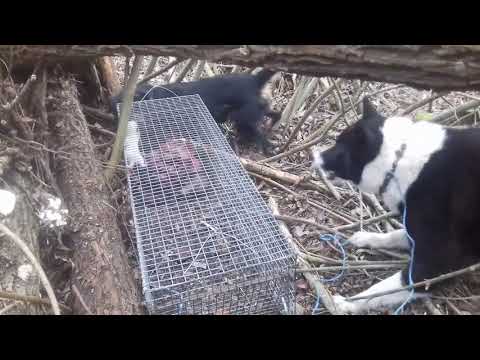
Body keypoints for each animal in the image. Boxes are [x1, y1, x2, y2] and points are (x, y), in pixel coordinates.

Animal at [312, 97, 480, 314]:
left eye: (340, 148)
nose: (313, 156)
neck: (397, 162)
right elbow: (396, 234)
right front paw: (367, 237)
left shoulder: (438, 260)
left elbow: (385, 288)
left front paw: (348, 302)